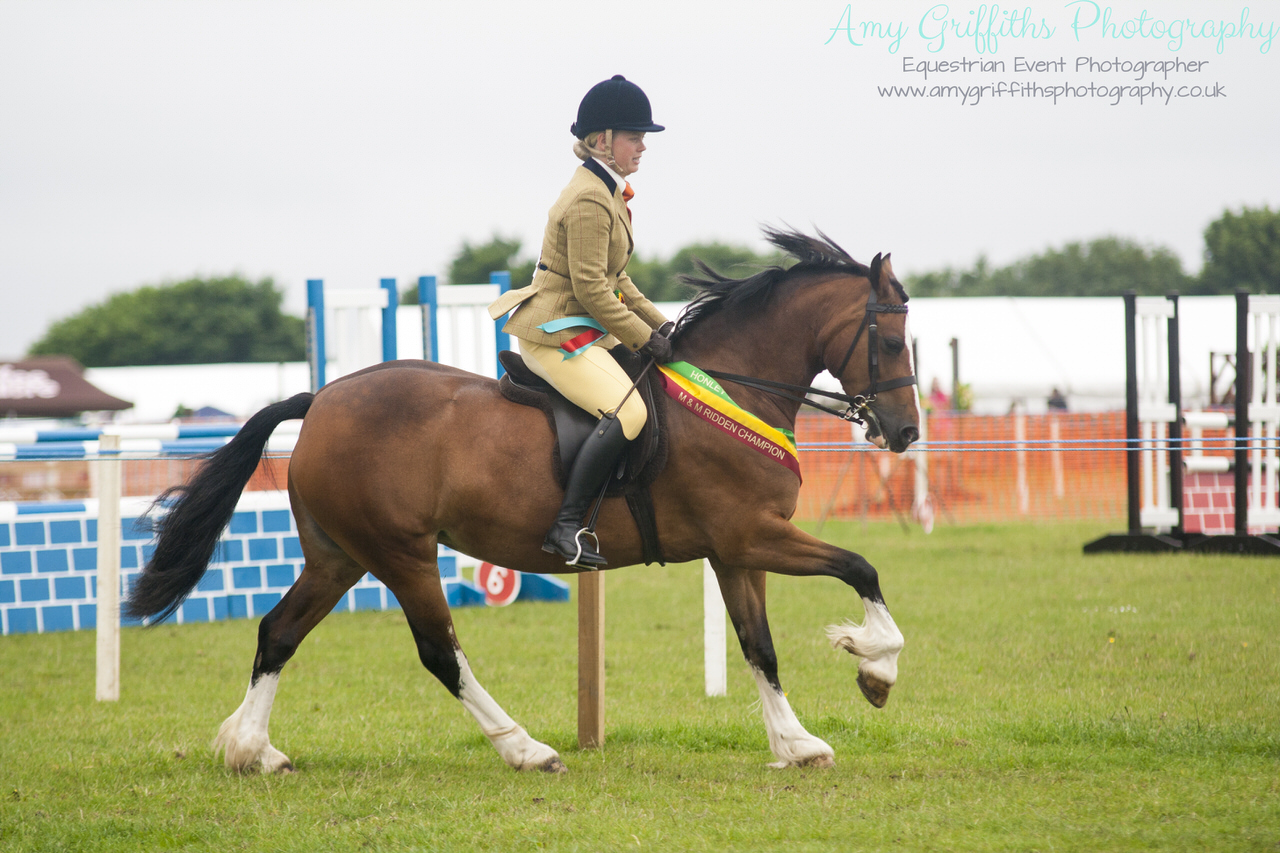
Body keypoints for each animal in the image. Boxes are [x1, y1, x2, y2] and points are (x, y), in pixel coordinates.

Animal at [124, 225, 921, 768]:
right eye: (889, 343)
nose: (907, 432)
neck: (733, 388)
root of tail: (320, 399)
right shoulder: (752, 535)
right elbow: (862, 568)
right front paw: (872, 664)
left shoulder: (735, 551)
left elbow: (760, 646)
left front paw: (796, 742)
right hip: (401, 554)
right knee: (439, 652)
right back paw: (525, 748)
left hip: (338, 556)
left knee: (278, 632)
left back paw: (252, 749)